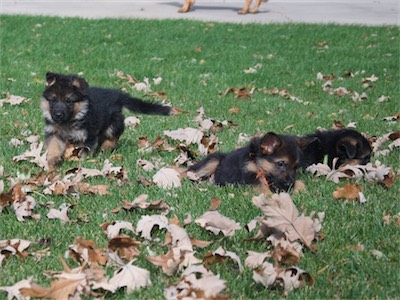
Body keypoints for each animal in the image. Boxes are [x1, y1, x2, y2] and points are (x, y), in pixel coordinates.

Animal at [40, 71, 172, 168]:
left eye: (68, 101)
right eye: (53, 100)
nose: (58, 115)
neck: (69, 122)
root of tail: (118, 95)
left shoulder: (88, 136)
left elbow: (83, 153)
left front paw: (80, 163)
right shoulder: (54, 133)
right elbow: (53, 147)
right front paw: (51, 162)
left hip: (115, 122)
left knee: (113, 136)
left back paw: (105, 149)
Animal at [188, 132, 316, 193]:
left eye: (296, 167)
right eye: (280, 164)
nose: (289, 184)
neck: (257, 161)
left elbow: (299, 182)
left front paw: (303, 191)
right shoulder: (250, 176)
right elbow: (262, 188)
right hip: (212, 161)